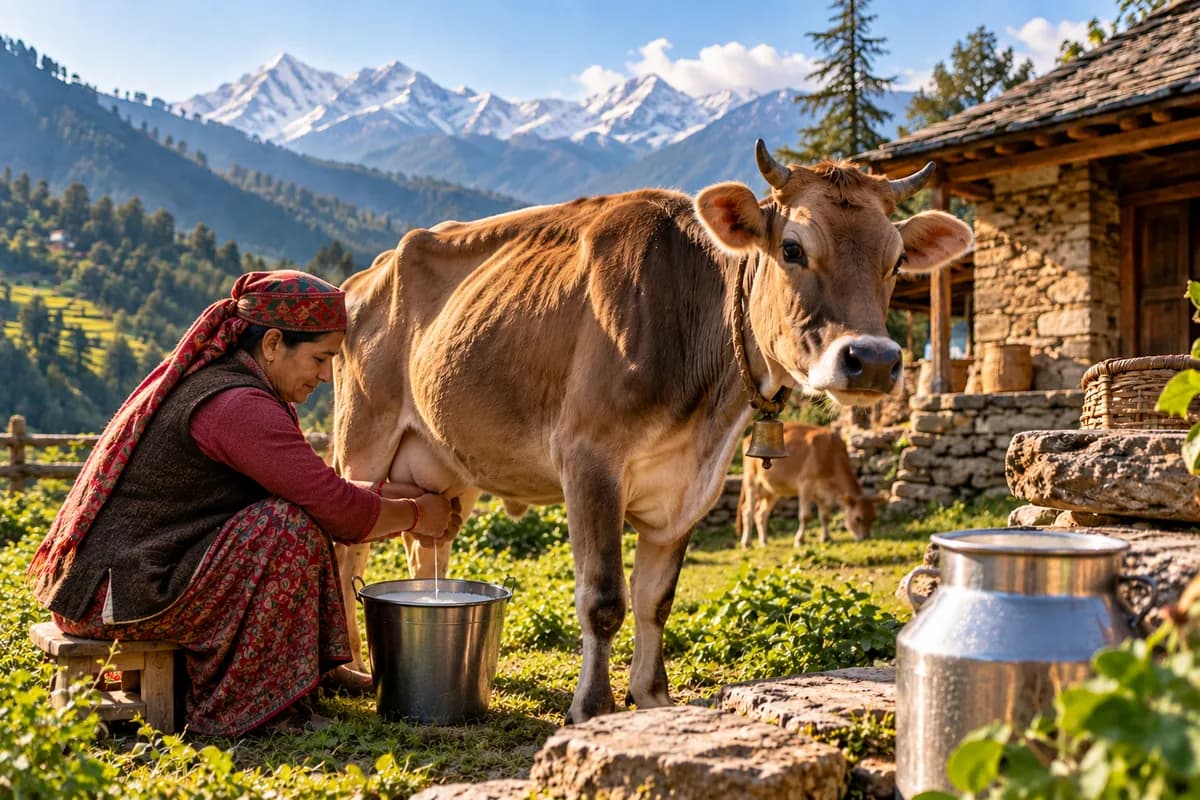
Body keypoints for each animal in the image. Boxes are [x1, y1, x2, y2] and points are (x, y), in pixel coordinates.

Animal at [736, 422, 881, 549]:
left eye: (873, 518)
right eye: (858, 518)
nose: (865, 537)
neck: (830, 454)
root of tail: (747, 439)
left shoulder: (824, 494)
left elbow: (825, 516)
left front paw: (826, 538)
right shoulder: (806, 484)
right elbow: (805, 516)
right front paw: (799, 540)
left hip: (772, 491)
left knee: (761, 514)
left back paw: (764, 541)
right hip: (751, 481)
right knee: (748, 511)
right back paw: (747, 543)